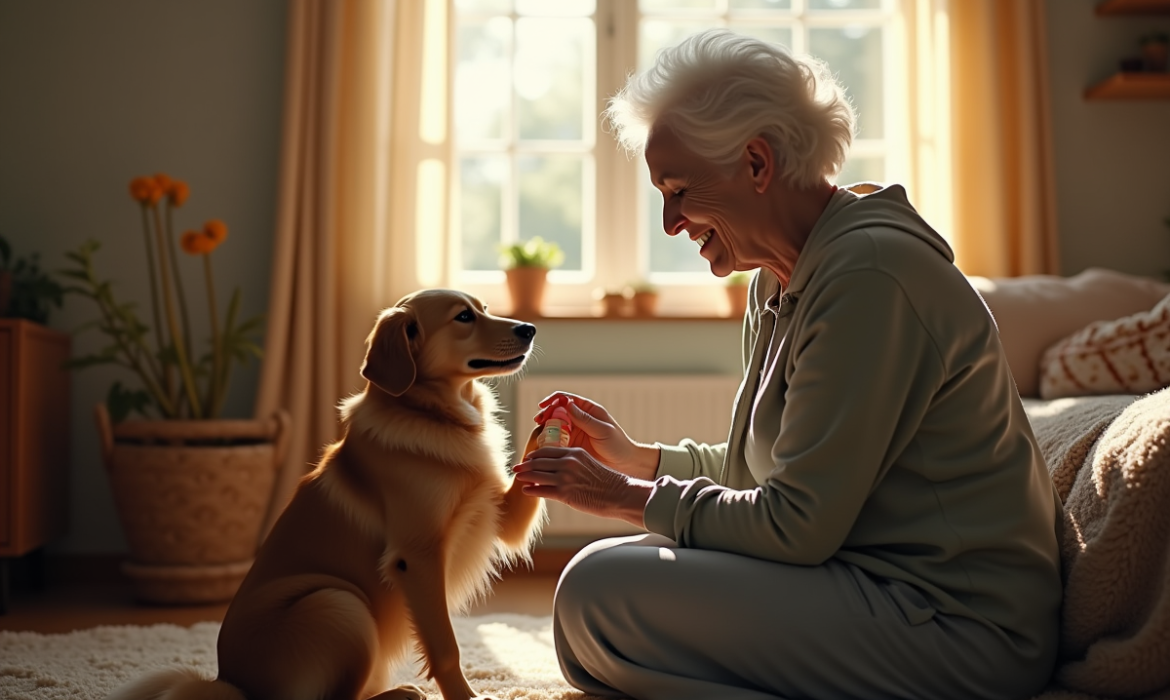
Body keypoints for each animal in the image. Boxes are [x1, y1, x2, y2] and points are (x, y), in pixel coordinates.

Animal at [107, 289, 545, 700]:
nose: (529, 329)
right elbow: (445, 647)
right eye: (464, 317)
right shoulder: (417, 557)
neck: (432, 415)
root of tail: (231, 683)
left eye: (484, 309)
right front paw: (468, 697)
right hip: (339, 603)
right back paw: (399, 693)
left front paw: (554, 421)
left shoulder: (497, 514)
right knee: (337, 697)